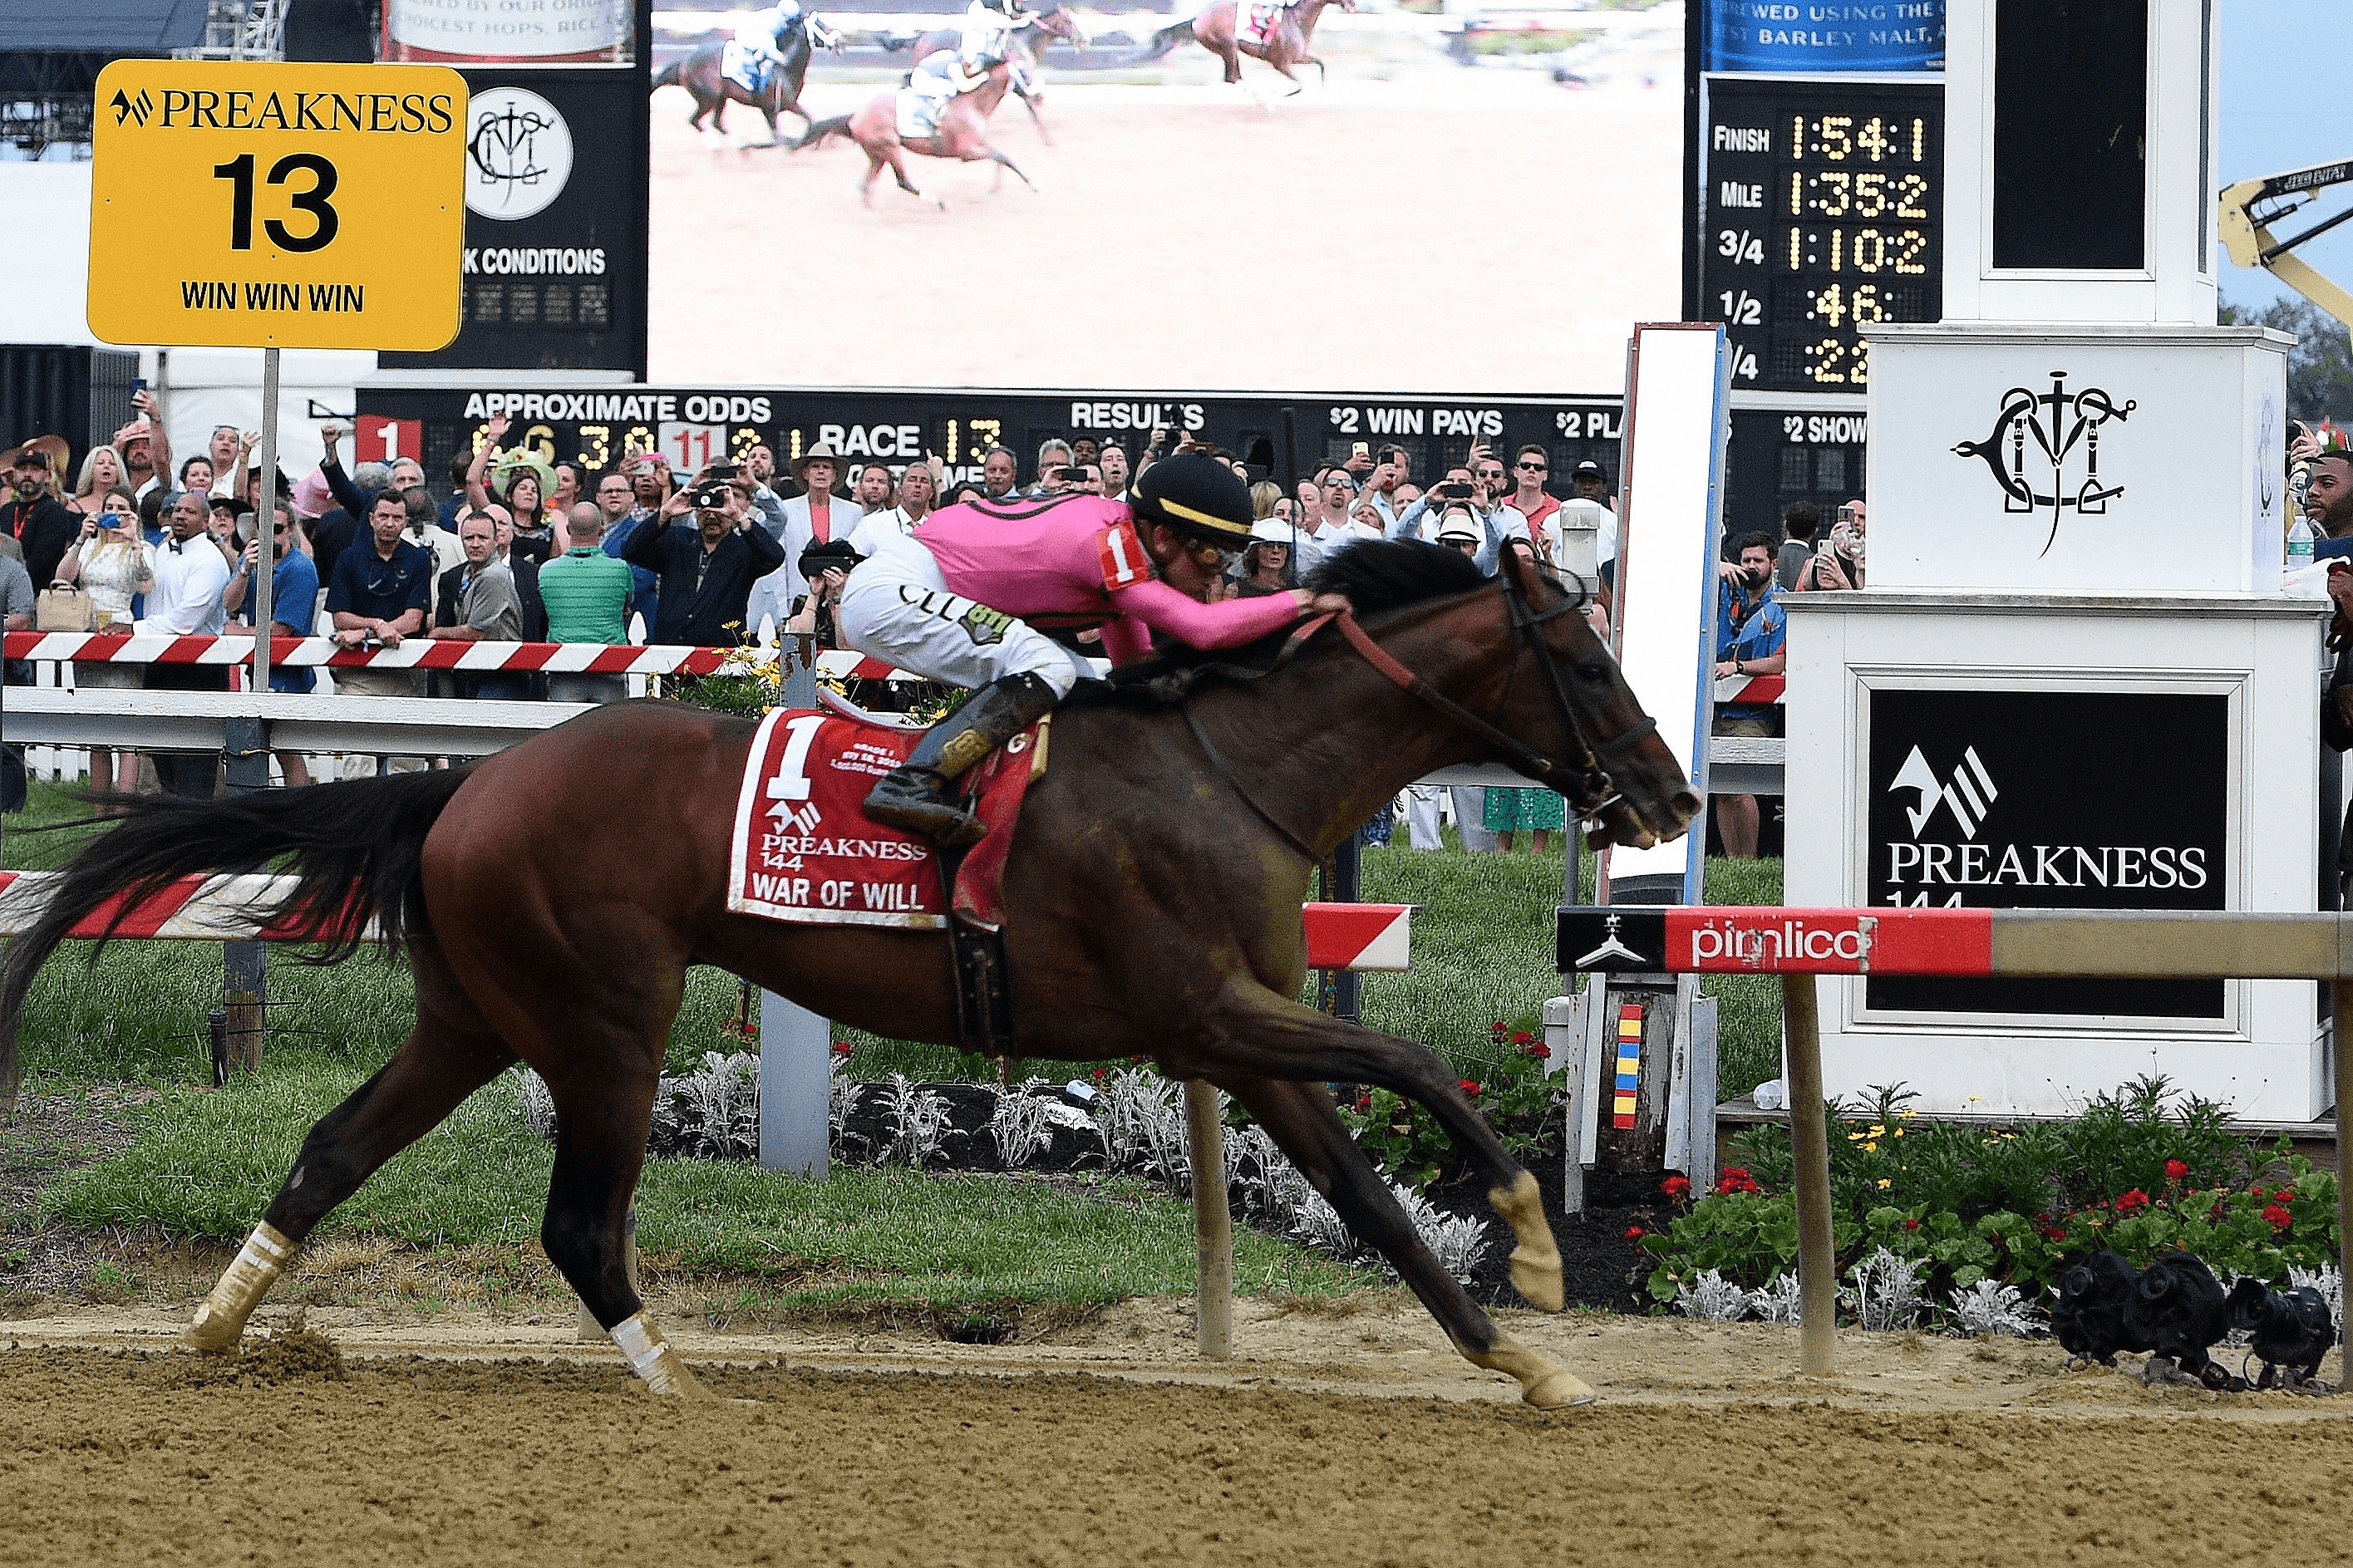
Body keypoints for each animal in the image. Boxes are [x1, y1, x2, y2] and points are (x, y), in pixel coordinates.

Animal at [0, 540, 1694, 1410]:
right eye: (1583, 660)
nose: (1671, 796)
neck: (1229, 769)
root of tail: (469, 783)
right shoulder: (1204, 1009)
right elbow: (1408, 1067)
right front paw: (1536, 1240)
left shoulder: (1240, 1037)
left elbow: (1367, 1196)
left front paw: (1523, 1353)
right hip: (609, 1018)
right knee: (577, 1221)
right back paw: (675, 1377)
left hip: (477, 1012)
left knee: (331, 1148)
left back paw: (221, 1329)